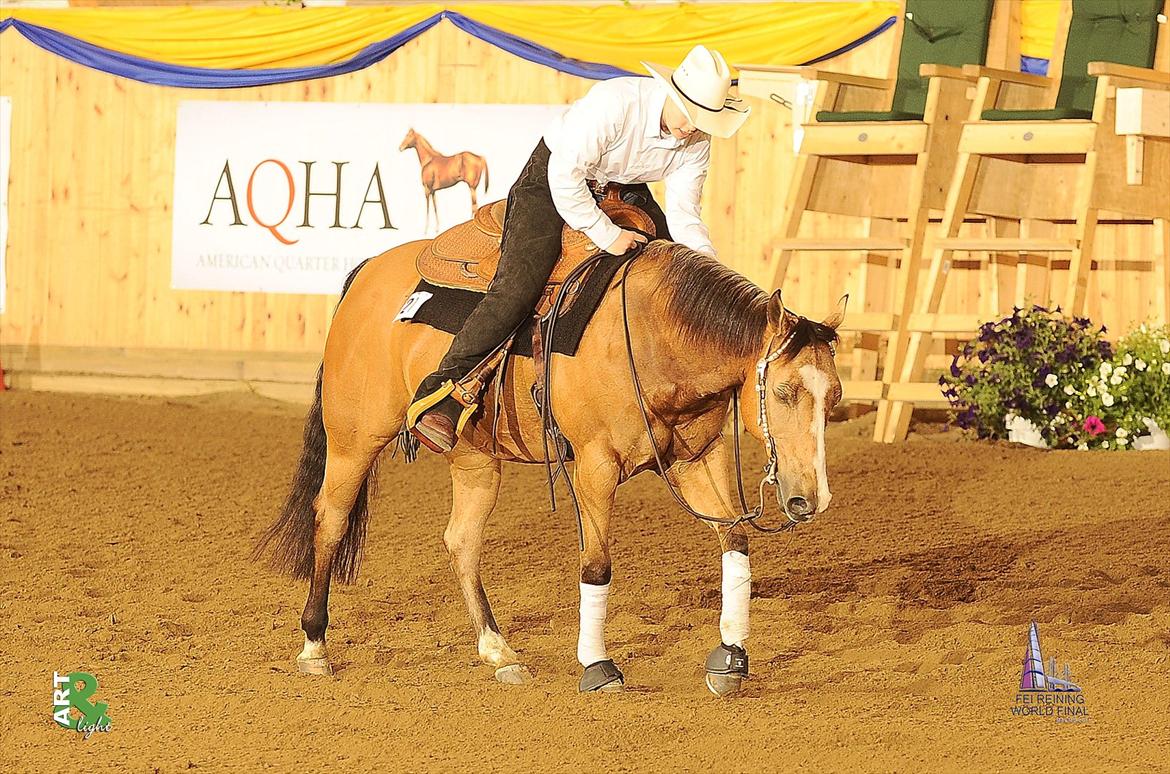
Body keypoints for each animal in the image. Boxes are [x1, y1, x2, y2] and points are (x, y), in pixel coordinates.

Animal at [256, 216, 847, 696]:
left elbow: (735, 540)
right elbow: (596, 565)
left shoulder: (698, 459)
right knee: (330, 519)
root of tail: (367, 274)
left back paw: (499, 651)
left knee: (461, 541)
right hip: (354, 438)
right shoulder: (595, 466)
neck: (653, 335)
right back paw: (315, 647)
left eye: (835, 397)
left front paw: (731, 658)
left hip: (474, 457)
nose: (811, 500)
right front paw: (598, 667)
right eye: (784, 392)